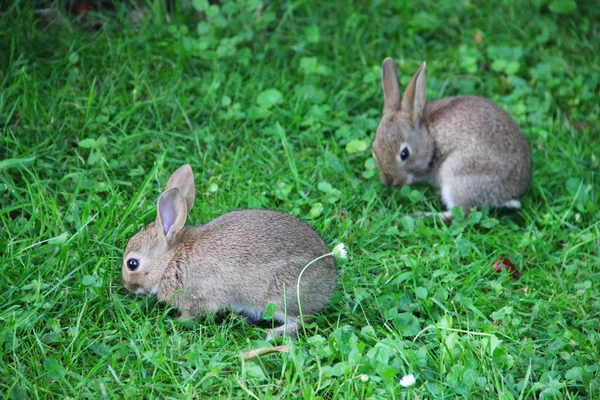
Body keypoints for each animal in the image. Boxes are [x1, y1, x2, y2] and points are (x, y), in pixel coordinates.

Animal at [122, 164, 338, 340]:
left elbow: (193, 315)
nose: (126, 286)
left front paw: (174, 322)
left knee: (301, 320)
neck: (170, 261)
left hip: (281, 297)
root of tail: (329, 281)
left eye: (132, 263)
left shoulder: (200, 298)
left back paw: (272, 334)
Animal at [372, 57, 532, 219]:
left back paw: (421, 215)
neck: (428, 136)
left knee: (459, 214)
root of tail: (510, 194)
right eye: (374, 150)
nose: (388, 181)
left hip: (457, 176)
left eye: (404, 154)